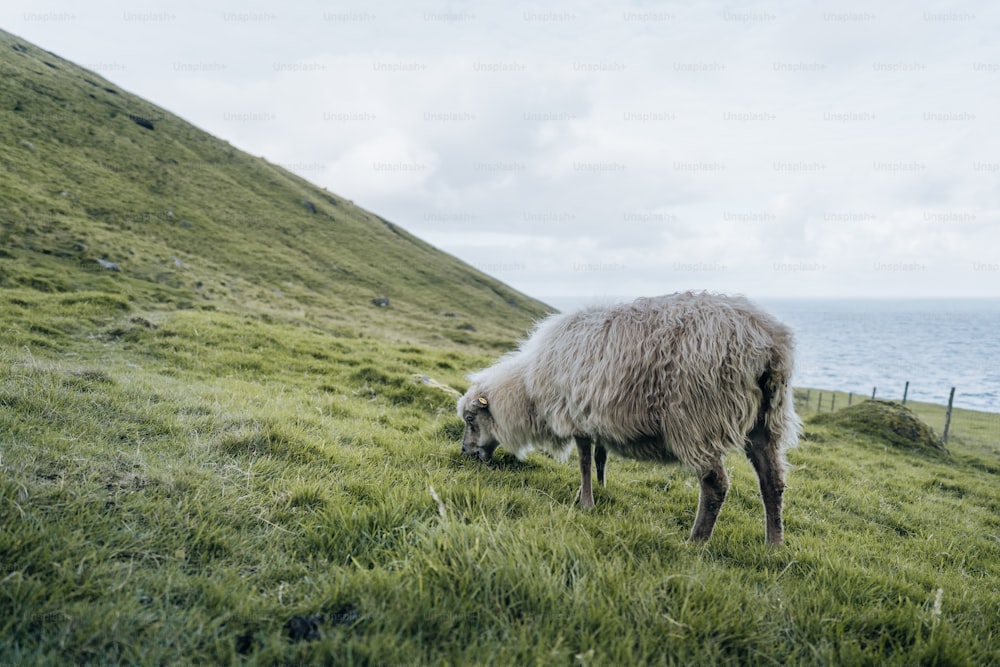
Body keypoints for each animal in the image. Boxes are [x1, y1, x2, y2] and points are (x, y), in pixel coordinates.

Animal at [458, 290, 800, 544]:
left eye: (471, 419)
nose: (465, 452)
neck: (528, 388)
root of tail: (768, 342)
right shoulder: (594, 414)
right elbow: (599, 457)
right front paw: (601, 486)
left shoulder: (574, 416)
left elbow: (583, 461)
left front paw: (586, 501)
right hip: (766, 420)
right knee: (772, 481)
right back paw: (774, 544)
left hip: (697, 419)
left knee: (716, 484)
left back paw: (696, 541)